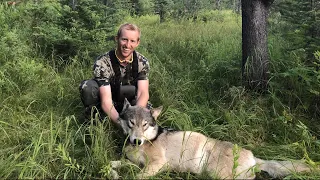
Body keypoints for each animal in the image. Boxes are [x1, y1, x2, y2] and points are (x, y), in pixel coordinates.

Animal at [116, 99, 312, 179]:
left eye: (145, 125)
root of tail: (253, 156)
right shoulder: (135, 163)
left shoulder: (157, 164)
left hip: (217, 173)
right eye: (131, 123)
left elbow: (135, 177)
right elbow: (116, 164)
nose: (136, 141)